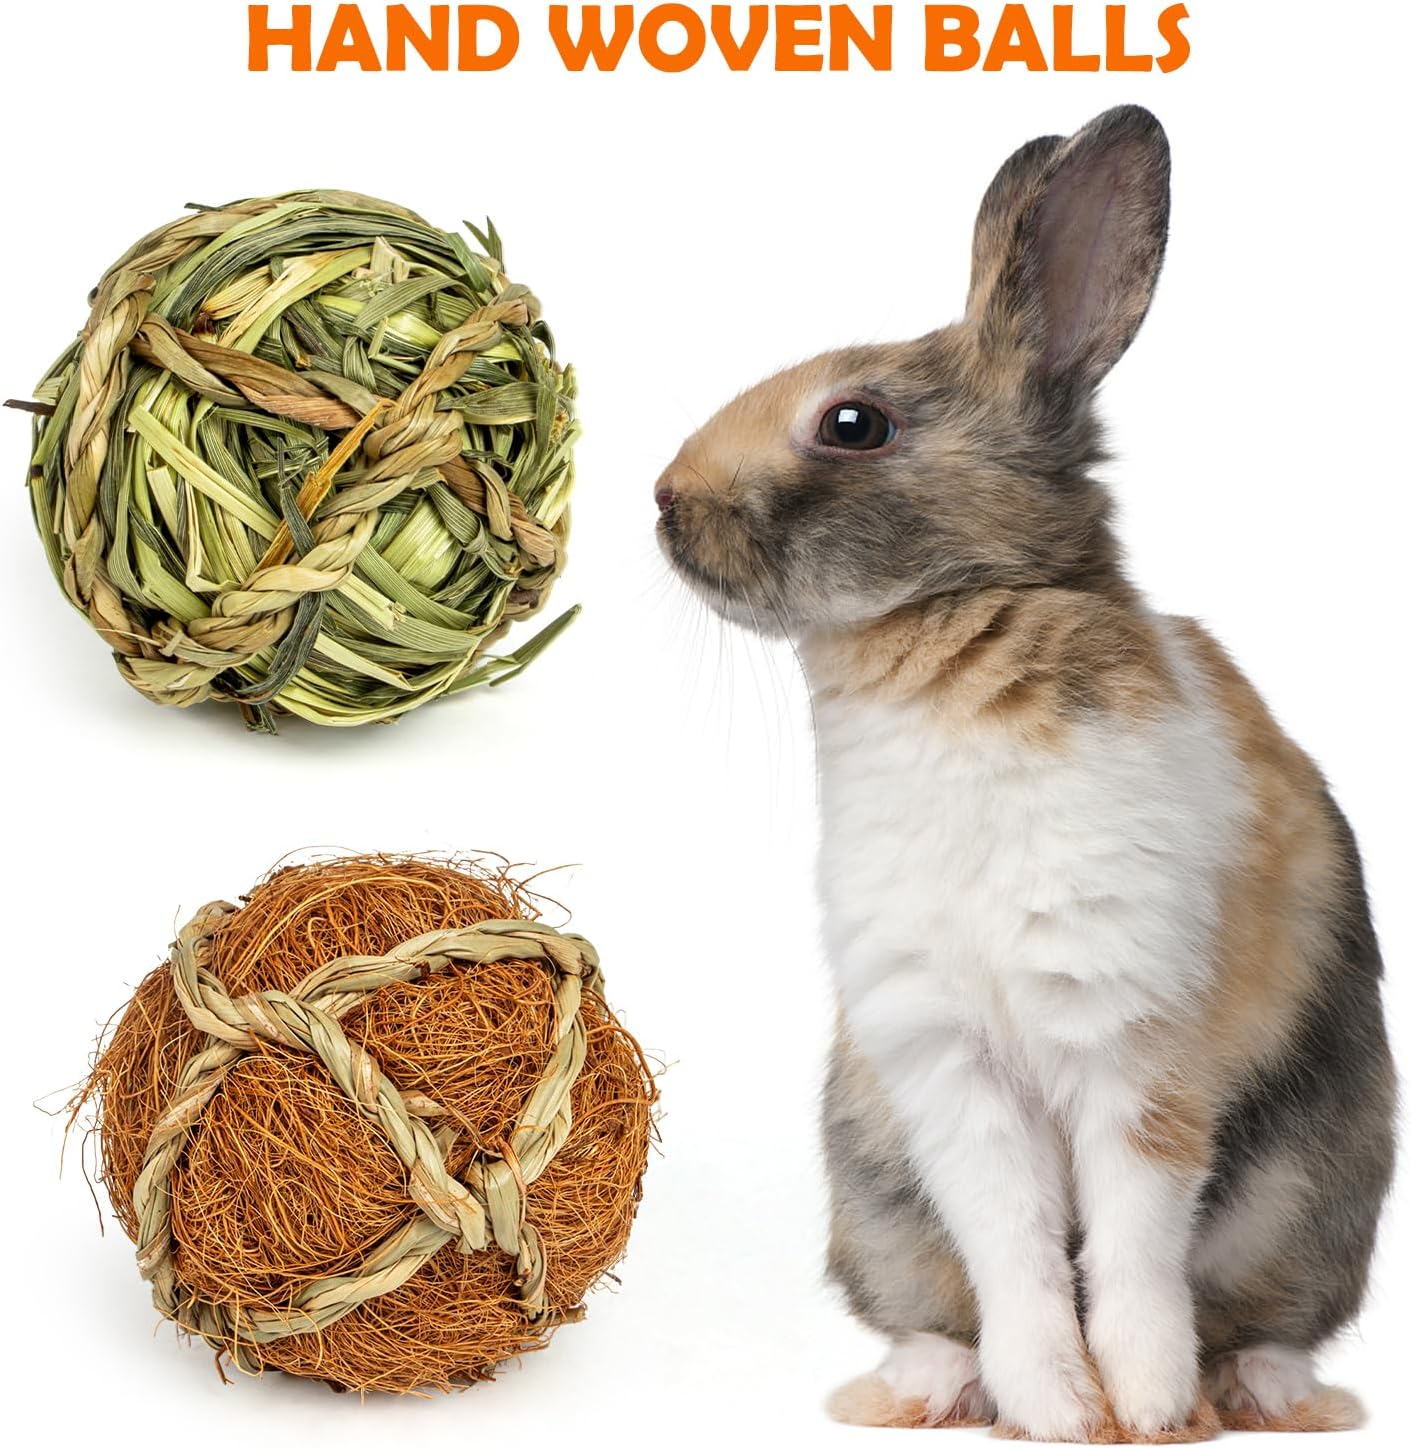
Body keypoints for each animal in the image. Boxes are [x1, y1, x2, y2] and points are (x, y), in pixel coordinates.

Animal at [654, 105, 1395, 1442]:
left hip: (1313, 1200)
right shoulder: (944, 1064)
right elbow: (1013, 1247)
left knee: (1262, 1316)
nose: (663, 502)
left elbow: (1134, 1241)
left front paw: (1142, 1406)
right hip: (875, 1193)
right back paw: (920, 1386)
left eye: (853, 422)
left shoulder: (1133, 1044)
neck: (942, 640)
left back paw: (1253, 1391)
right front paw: (1054, 1405)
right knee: (934, 1302)